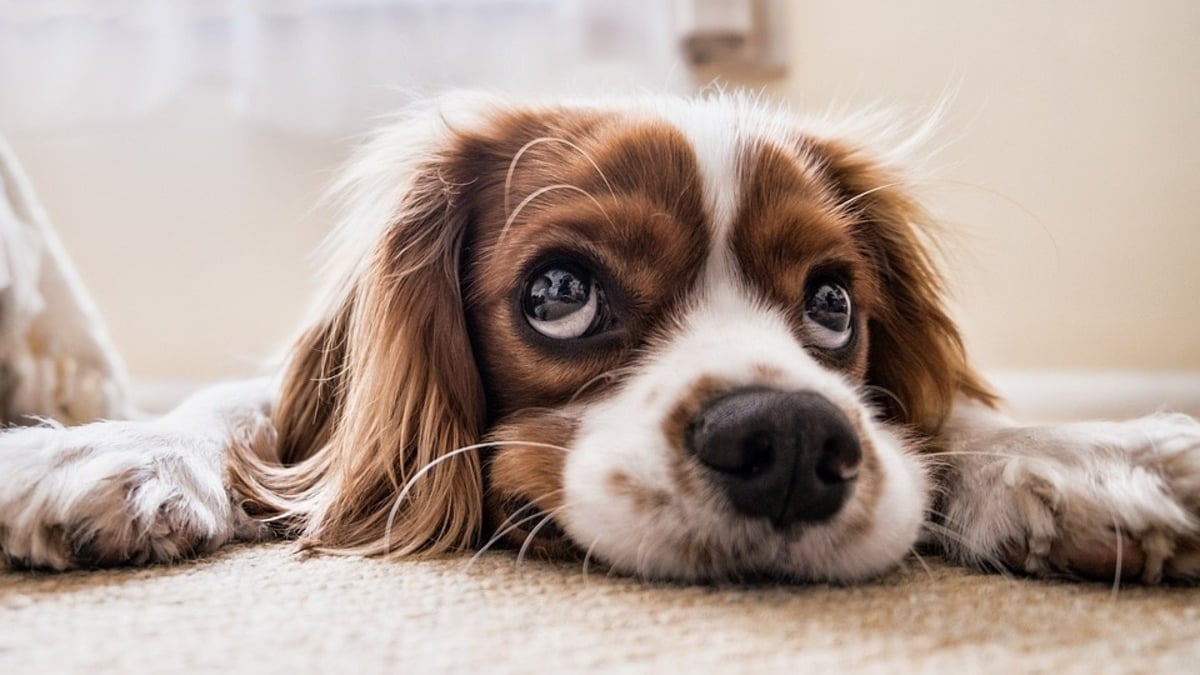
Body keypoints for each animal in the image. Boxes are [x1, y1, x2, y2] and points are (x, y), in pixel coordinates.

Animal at [2, 91, 1200, 581]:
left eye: (832, 304)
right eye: (561, 292)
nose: (791, 441)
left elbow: (949, 421)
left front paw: (1086, 459)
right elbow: (240, 411)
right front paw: (106, 450)